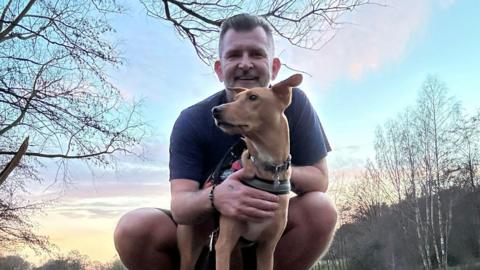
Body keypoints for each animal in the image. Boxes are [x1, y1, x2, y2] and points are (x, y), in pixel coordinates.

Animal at [178, 74, 302, 270]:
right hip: (191, 249)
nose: (215, 110)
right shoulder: (223, 244)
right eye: (234, 99)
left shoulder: (267, 248)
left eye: (253, 97)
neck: (268, 168)